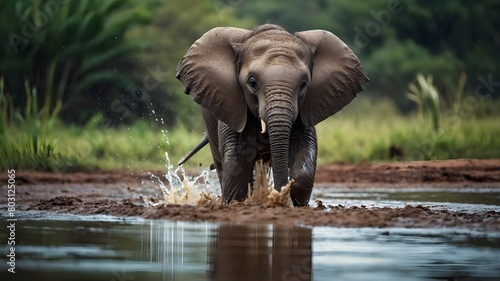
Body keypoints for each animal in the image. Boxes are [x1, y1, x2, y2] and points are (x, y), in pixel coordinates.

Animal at [176, 24, 368, 206]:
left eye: (304, 84)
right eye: (252, 82)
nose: (279, 194)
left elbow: (305, 153)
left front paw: (290, 196)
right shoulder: (232, 106)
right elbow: (236, 162)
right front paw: (235, 202)